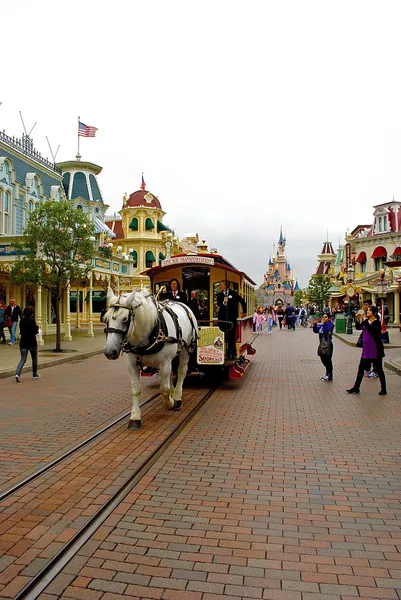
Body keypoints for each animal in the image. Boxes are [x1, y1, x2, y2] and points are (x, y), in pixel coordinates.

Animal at [103, 288, 197, 428]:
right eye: (106, 319)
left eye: (125, 319)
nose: (109, 351)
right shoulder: (132, 365)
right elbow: (136, 390)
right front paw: (135, 417)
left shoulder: (164, 363)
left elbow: (164, 389)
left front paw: (170, 403)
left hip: (185, 350)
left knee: (181, 372)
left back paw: (177, 397)